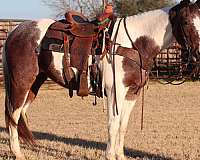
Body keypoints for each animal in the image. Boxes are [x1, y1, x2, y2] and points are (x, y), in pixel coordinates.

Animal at [3, 2, 191, 160]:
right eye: (187, 22)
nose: (195, 53)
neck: (134, 43)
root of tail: (15, 31)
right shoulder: (115, 92)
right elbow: (113, 124)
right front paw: (110, 155)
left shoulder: (132, 93)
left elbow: (123, 125)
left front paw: (120, 155)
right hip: (21, 83)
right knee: (13, 114)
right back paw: (17, 153)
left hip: (35, 84)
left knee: (20, 114)